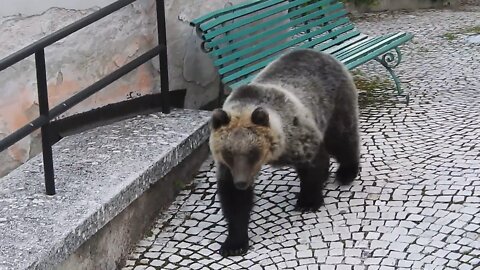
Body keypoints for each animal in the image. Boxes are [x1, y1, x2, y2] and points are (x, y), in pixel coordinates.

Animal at [208, 48, 358, 258]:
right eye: (228, 153)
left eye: (252, 153)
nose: (242, 183)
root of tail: (321, 53)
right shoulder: (227, 167)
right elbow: (234, 200)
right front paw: (234, 243)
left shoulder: (298, 135)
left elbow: (314, 164)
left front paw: (308, 201)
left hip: (336, 101)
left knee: (342, 138)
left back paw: (347, 172)